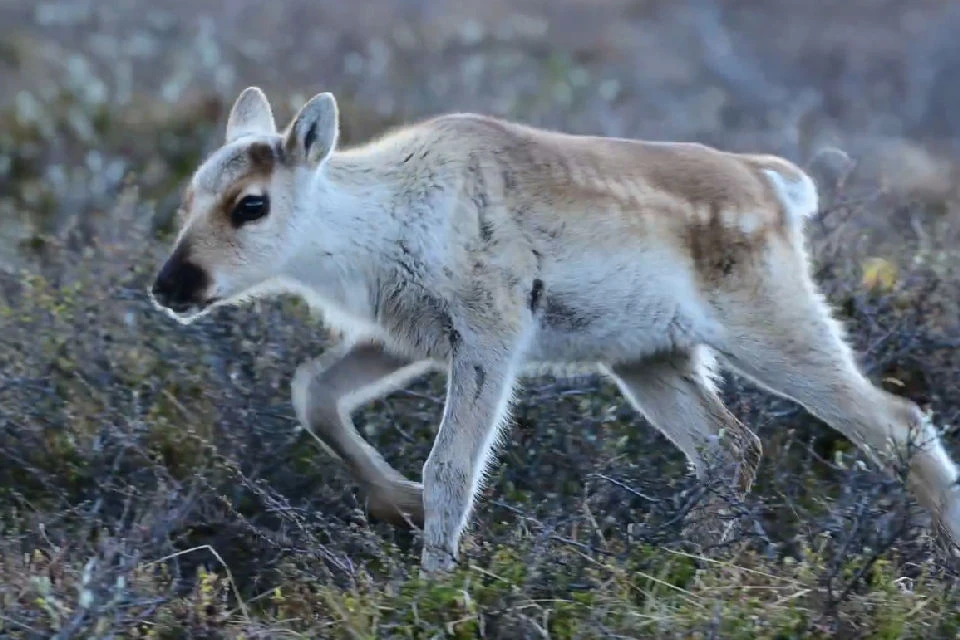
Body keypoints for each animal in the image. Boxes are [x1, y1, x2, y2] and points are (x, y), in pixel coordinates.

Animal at [150, 87, 960, 572]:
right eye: (189, 195)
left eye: (251, 204)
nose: (170, 286)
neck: (377, 224)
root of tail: (774, 181)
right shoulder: (405, 336)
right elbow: (312, 394)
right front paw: (395, 501)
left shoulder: (491, 331)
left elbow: (452, 468)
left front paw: (432, 587)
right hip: (649, 359)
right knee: (729, 446)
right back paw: (697, 565)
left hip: (773, 327)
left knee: (894, 419)